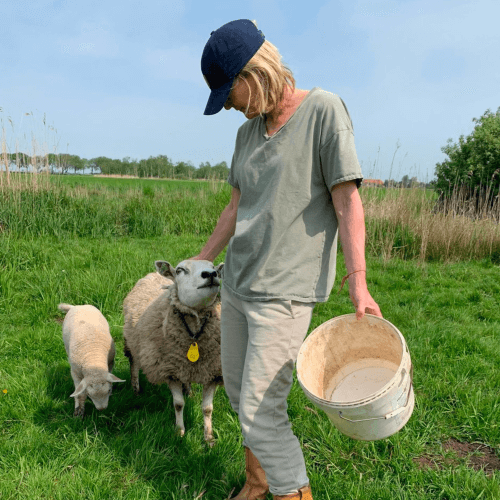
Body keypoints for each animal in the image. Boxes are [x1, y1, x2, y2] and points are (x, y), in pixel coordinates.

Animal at [122, 260, 224, 444]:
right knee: (134, 364)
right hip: (132, 341)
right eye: (180, 270)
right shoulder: (170, 371)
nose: (210, 274)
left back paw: (189, 391)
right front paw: (179, 431)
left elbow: (207, 408)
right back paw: (136, 389)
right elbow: (178, 404)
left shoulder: (213, 372)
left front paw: (209, 438)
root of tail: (154, 274)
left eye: (214, 268)